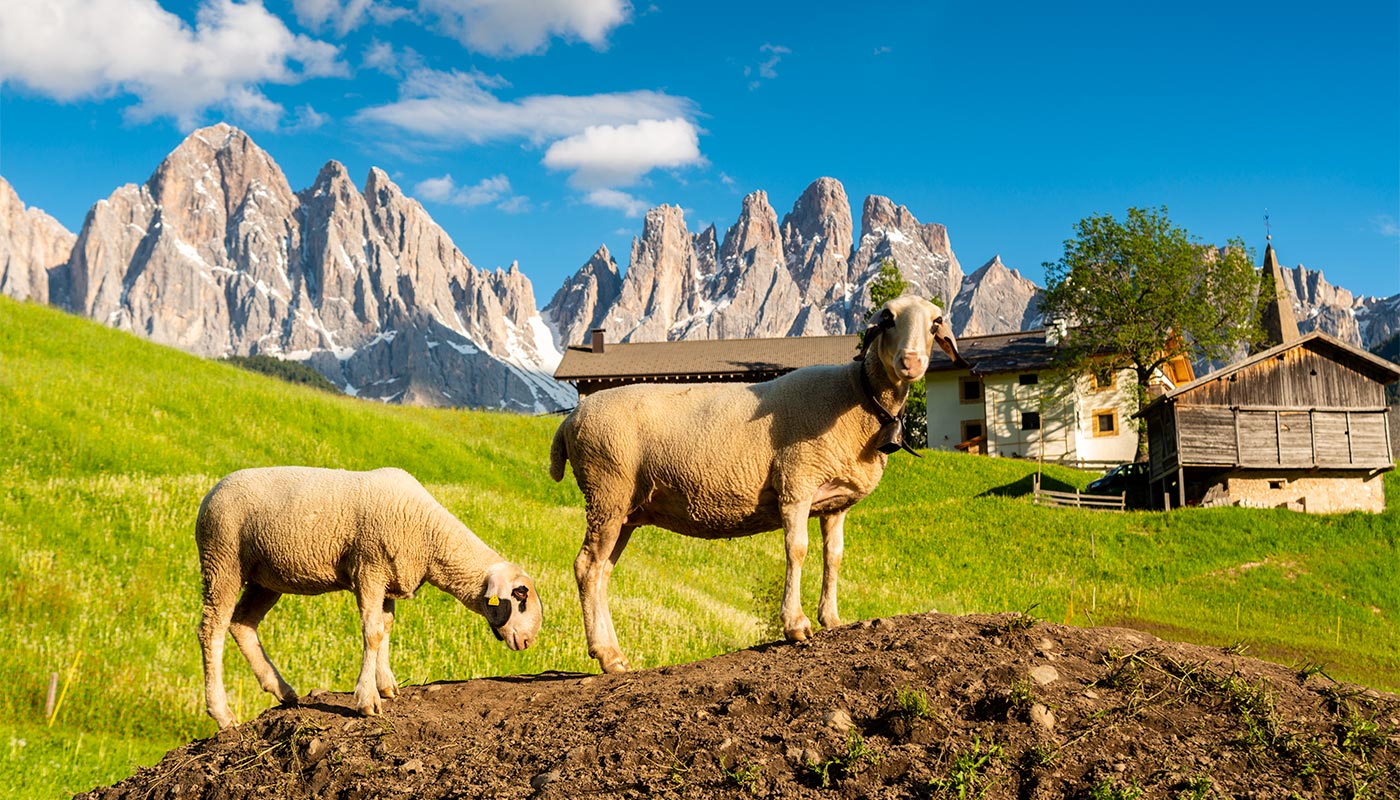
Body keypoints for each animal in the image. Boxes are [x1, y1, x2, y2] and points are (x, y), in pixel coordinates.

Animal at [196, 465, 540, 728]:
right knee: (212, 630)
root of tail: (211, 491)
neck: (429, 535)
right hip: (223, 559)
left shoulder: (388, 580)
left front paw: (386, 685)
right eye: (520, 595)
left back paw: (282, 690)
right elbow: (372, 632)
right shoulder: (369, 569)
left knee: (242, 624)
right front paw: (366, 699)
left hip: (265, 577)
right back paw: (223, 714)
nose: (528, 641)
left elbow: (385, 627)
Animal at [546, 292, 963, 669]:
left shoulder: (835, 504)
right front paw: (796, 625)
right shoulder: (796, 482)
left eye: (934, 324)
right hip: (606, 491)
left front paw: (831, 618)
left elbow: (834, 556)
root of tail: (570, 420)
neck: (856, 394)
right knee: (586, 567)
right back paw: (608, 655)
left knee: (602, 572)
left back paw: (612, 655)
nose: (911, 362)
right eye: (888, 319)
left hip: (624, 509)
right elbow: (797, 549)